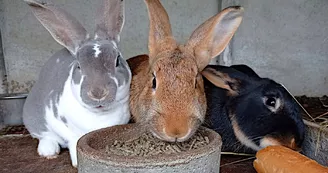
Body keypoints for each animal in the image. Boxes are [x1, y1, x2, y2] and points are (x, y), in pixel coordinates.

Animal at [22, 0, 131, 166]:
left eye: (117, 60)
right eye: (79, 65)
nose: (97, 93)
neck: (100, 114)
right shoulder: (67, 131)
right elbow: (73, 144)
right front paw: (77, 164)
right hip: (33, 116)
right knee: (44, 135)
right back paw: (49, 151)